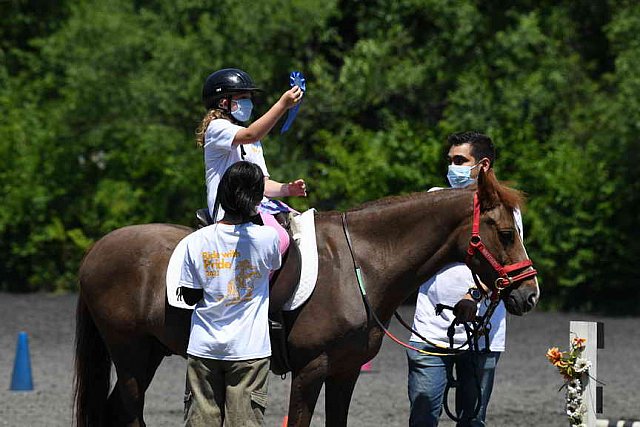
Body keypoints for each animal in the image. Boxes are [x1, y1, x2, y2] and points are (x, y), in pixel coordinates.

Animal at [72, 169, 536, 426]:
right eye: (506, 233)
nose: (530, 294)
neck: (359, 264)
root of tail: (96, 251)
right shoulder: (312, 369)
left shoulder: (345, 371)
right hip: (130, 354)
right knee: (129, 412)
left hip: (147, 353)